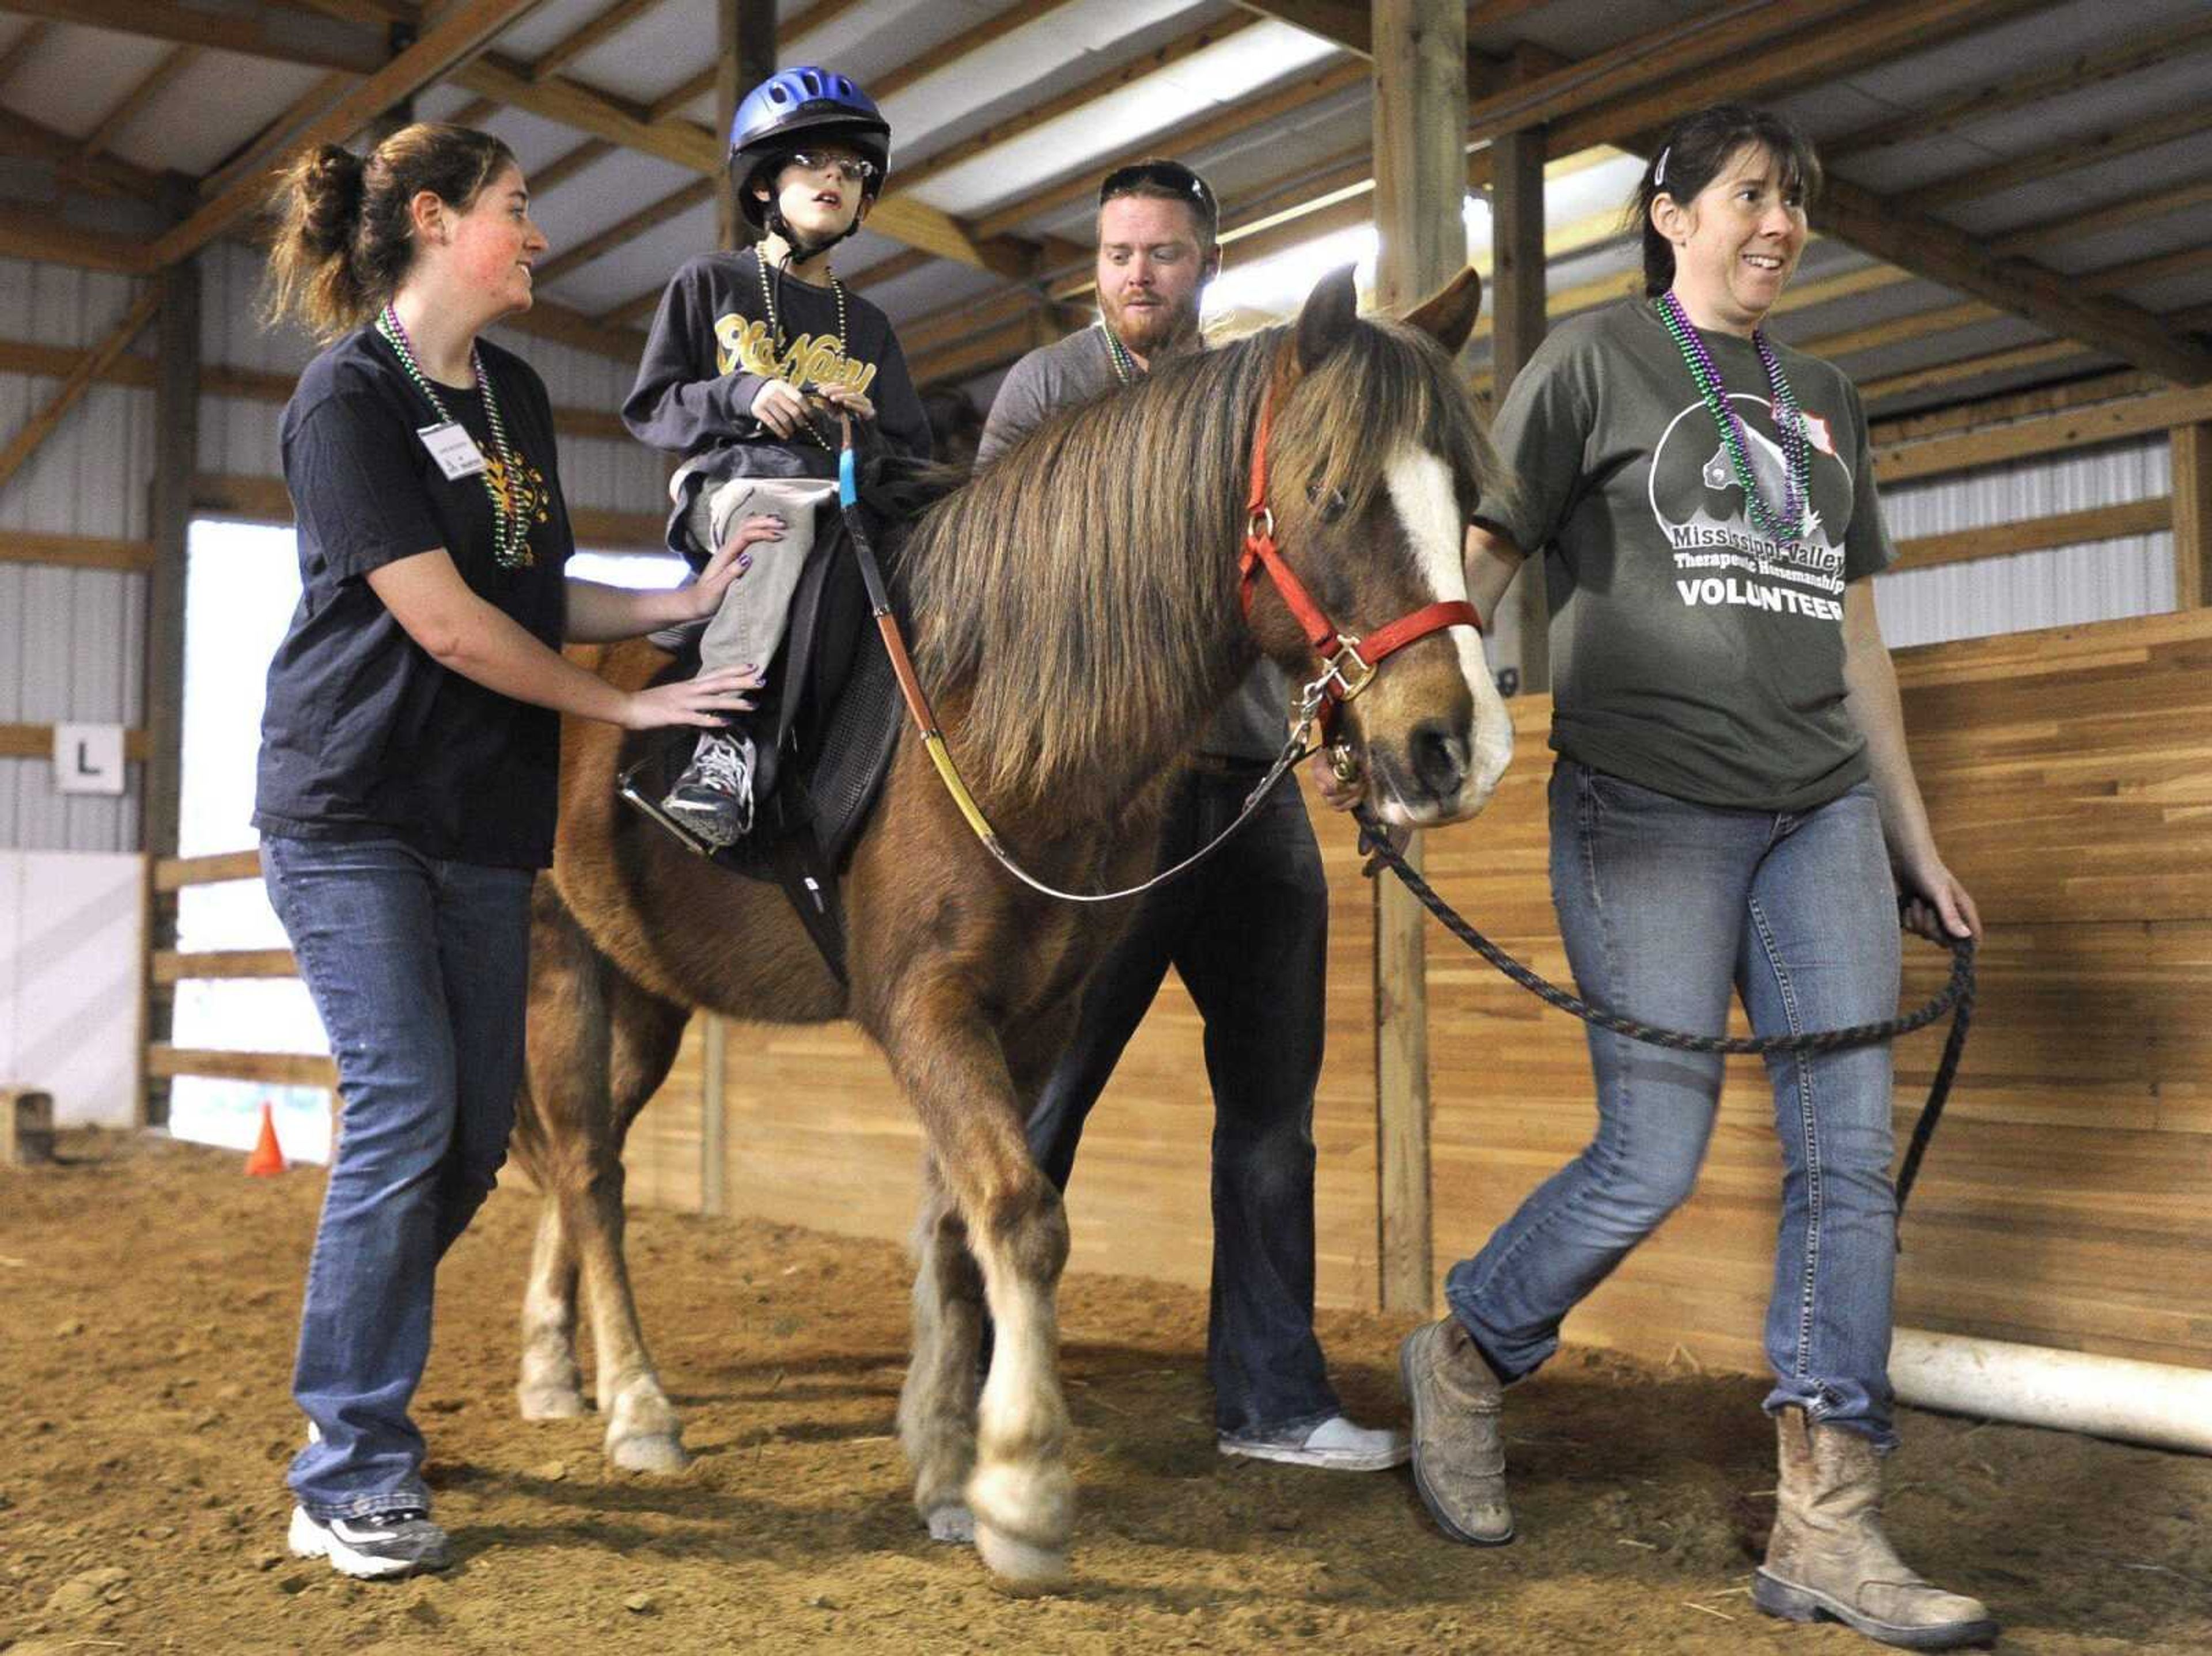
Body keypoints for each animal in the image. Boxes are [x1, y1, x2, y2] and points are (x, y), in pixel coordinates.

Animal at [513, 268, 1521, 1591]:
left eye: (1464, 497)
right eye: (1337, 495)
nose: (1457, 748)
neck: (993, 705)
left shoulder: (1035, 1019)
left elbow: (960, 1227)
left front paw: (947, 1467)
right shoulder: (925, 1009)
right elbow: (1023, 1216)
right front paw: (1024, 1489)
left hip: (644, 993)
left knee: (580, 1172)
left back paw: (552, 1366)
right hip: (560, 967)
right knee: (588, 1169)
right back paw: (637, 1406)